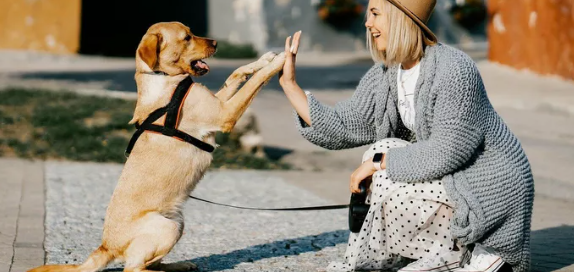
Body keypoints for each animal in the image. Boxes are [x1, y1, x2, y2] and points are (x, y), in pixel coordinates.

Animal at [29, 22, 286, 272]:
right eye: (186, 37)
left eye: (192, 32)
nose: (215, 42)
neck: (163, 78)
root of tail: (105, 246)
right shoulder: (225, 113)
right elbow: (255, 81)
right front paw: (281, 60)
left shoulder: (219, 102)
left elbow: (236, 73)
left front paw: (264, 59)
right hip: (166, 227)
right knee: (133, 268)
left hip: (177, 222)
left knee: (151, 262)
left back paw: (179, 265)